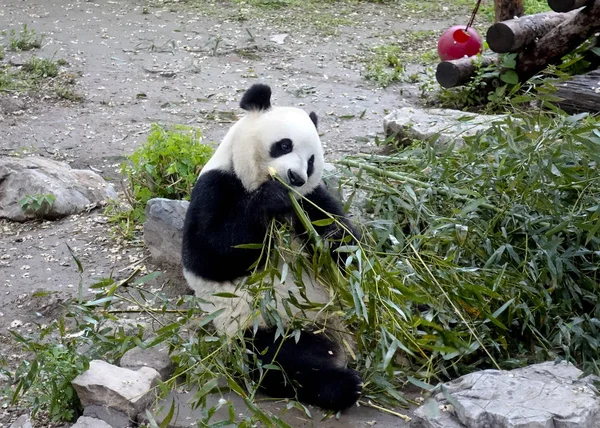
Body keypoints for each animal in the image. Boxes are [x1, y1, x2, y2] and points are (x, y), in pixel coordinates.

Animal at [182, 83, 360, 412]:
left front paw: (332, 239)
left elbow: (343, 242)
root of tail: (339, 336)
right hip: (260, 323)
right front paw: (271, 199)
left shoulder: (312, 199)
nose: (296, 177)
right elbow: (209, 252)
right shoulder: (215, 185)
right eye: (284, 145)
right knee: (278, 360)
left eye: (311, 161)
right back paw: (341, 385)